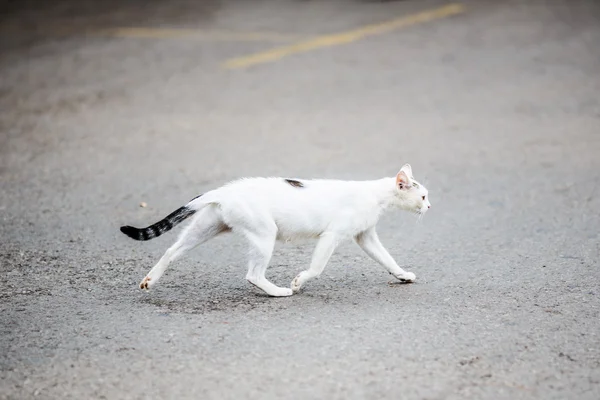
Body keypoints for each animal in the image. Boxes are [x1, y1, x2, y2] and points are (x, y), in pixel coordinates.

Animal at [120, 163, 432, 296]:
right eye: (423, 196)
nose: (430, 207)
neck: (375, 196)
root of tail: (223, 190)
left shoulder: (365, 236)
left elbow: (387, 259)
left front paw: (403, 275)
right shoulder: (333, 235)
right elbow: (316, 268)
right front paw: (298, 282)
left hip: (206, 227)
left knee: (171, 251)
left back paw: (149, 280)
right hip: (264, 234)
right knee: (253, 274)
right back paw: (278, 292)